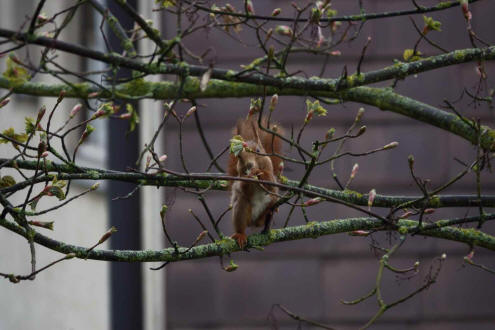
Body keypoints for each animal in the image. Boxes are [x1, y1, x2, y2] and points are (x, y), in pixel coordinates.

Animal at [228, 114, 282, 248]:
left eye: (258, 151)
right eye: (239, 157)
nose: (250, 165)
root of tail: (253, 222)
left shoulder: (271, 175)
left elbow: (270, 183)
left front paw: (259, 172)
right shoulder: (240, 179)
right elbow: (243, 187)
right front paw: (249, 176)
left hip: (270, 202)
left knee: (263, 219)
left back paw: (269, 212)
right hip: (241, 209)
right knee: (241, 223)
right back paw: (240, 235)